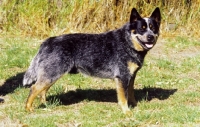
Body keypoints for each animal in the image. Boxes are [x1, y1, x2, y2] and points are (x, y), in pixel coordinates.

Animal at [23, 7, 161, 115]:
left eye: (153, 28)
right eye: (141, 28)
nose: (150, 37)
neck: (127, 43)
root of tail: (48, 41)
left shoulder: (131, 76)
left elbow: (131, 93)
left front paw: (135, 105)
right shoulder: (122, 77)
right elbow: (123, 97)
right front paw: (126, 111)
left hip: (51, 75)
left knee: (42, 91)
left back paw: (46, 105)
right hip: (52, 74)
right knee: (34, 88)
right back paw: (28, 108)